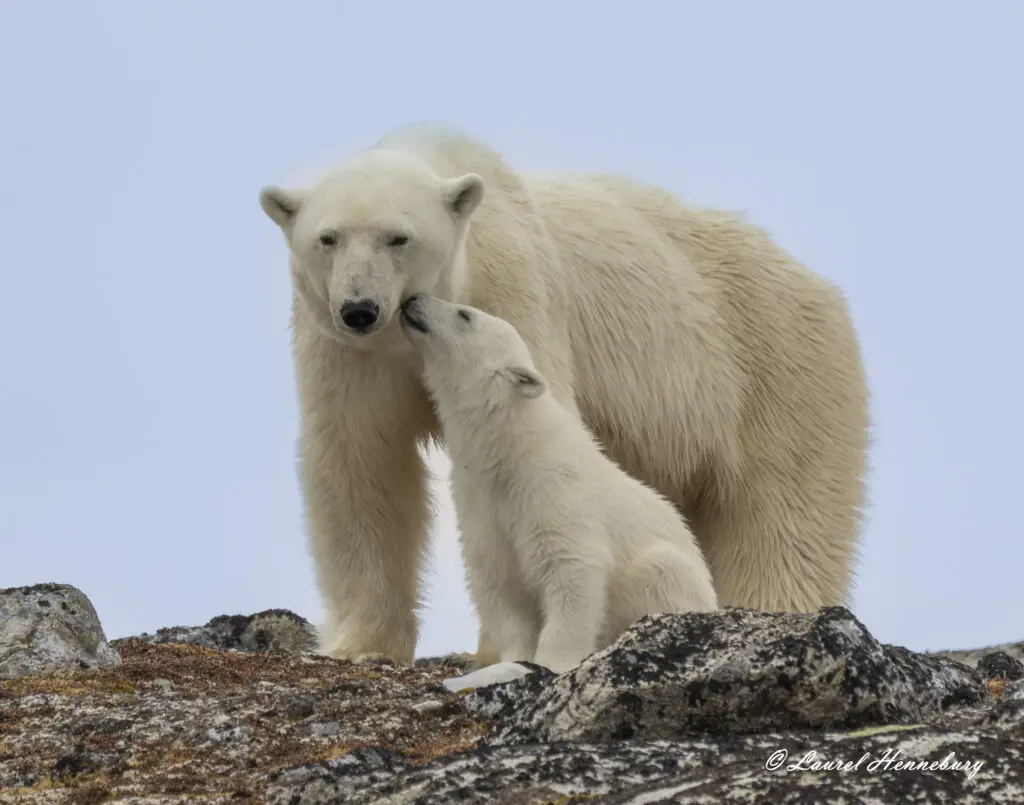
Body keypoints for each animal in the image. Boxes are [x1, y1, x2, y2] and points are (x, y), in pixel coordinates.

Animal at [260, 123, 868, 663]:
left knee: (783, 517)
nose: (360, 308)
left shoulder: (513, 288)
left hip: (774, 368)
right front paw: (361, 645)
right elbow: (360, 461)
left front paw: (493, 650)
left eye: (398, 237)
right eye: (328, 239)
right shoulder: (341, 350)